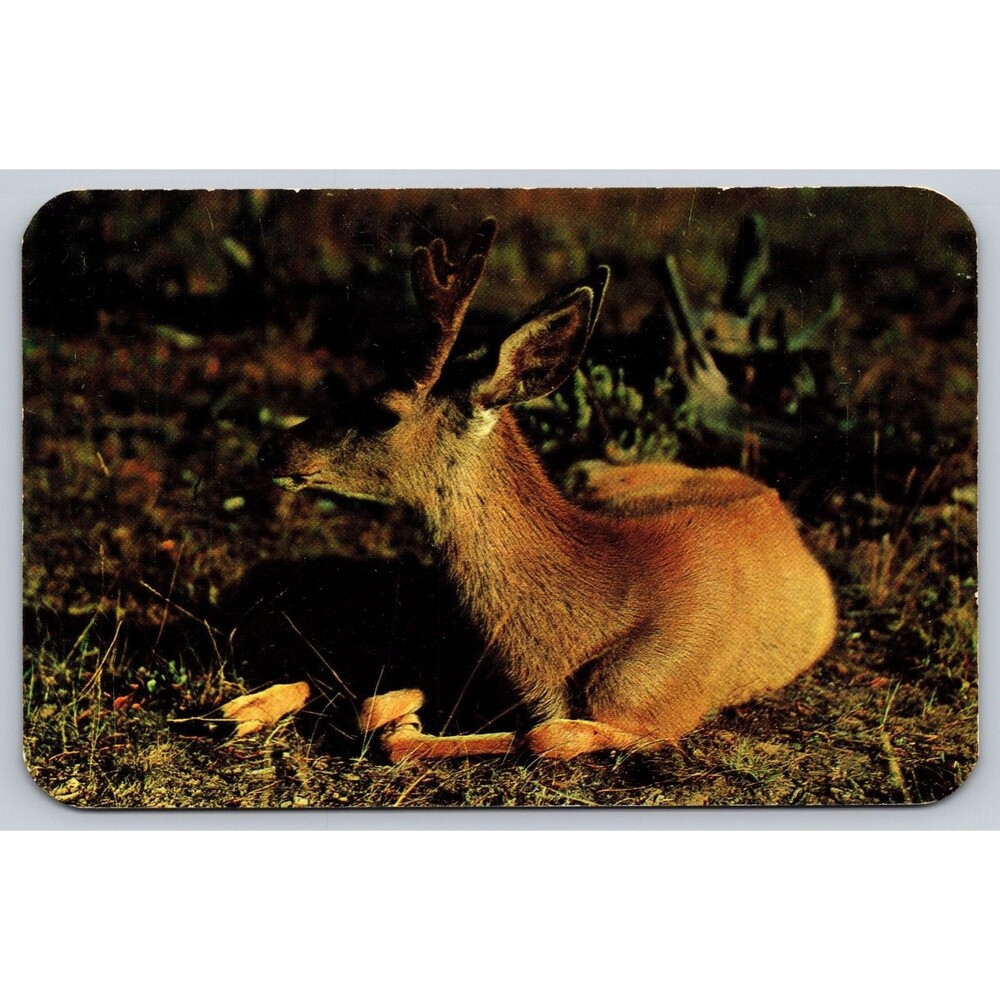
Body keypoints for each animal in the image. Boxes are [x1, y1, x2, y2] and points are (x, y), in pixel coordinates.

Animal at [218, 219, 836, 762]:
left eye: (381, 411)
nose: (270, 449)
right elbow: (375, 700)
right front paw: (398, 713)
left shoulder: (661, 708)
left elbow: (545, 735)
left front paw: (410, 724)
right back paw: (237, 711)